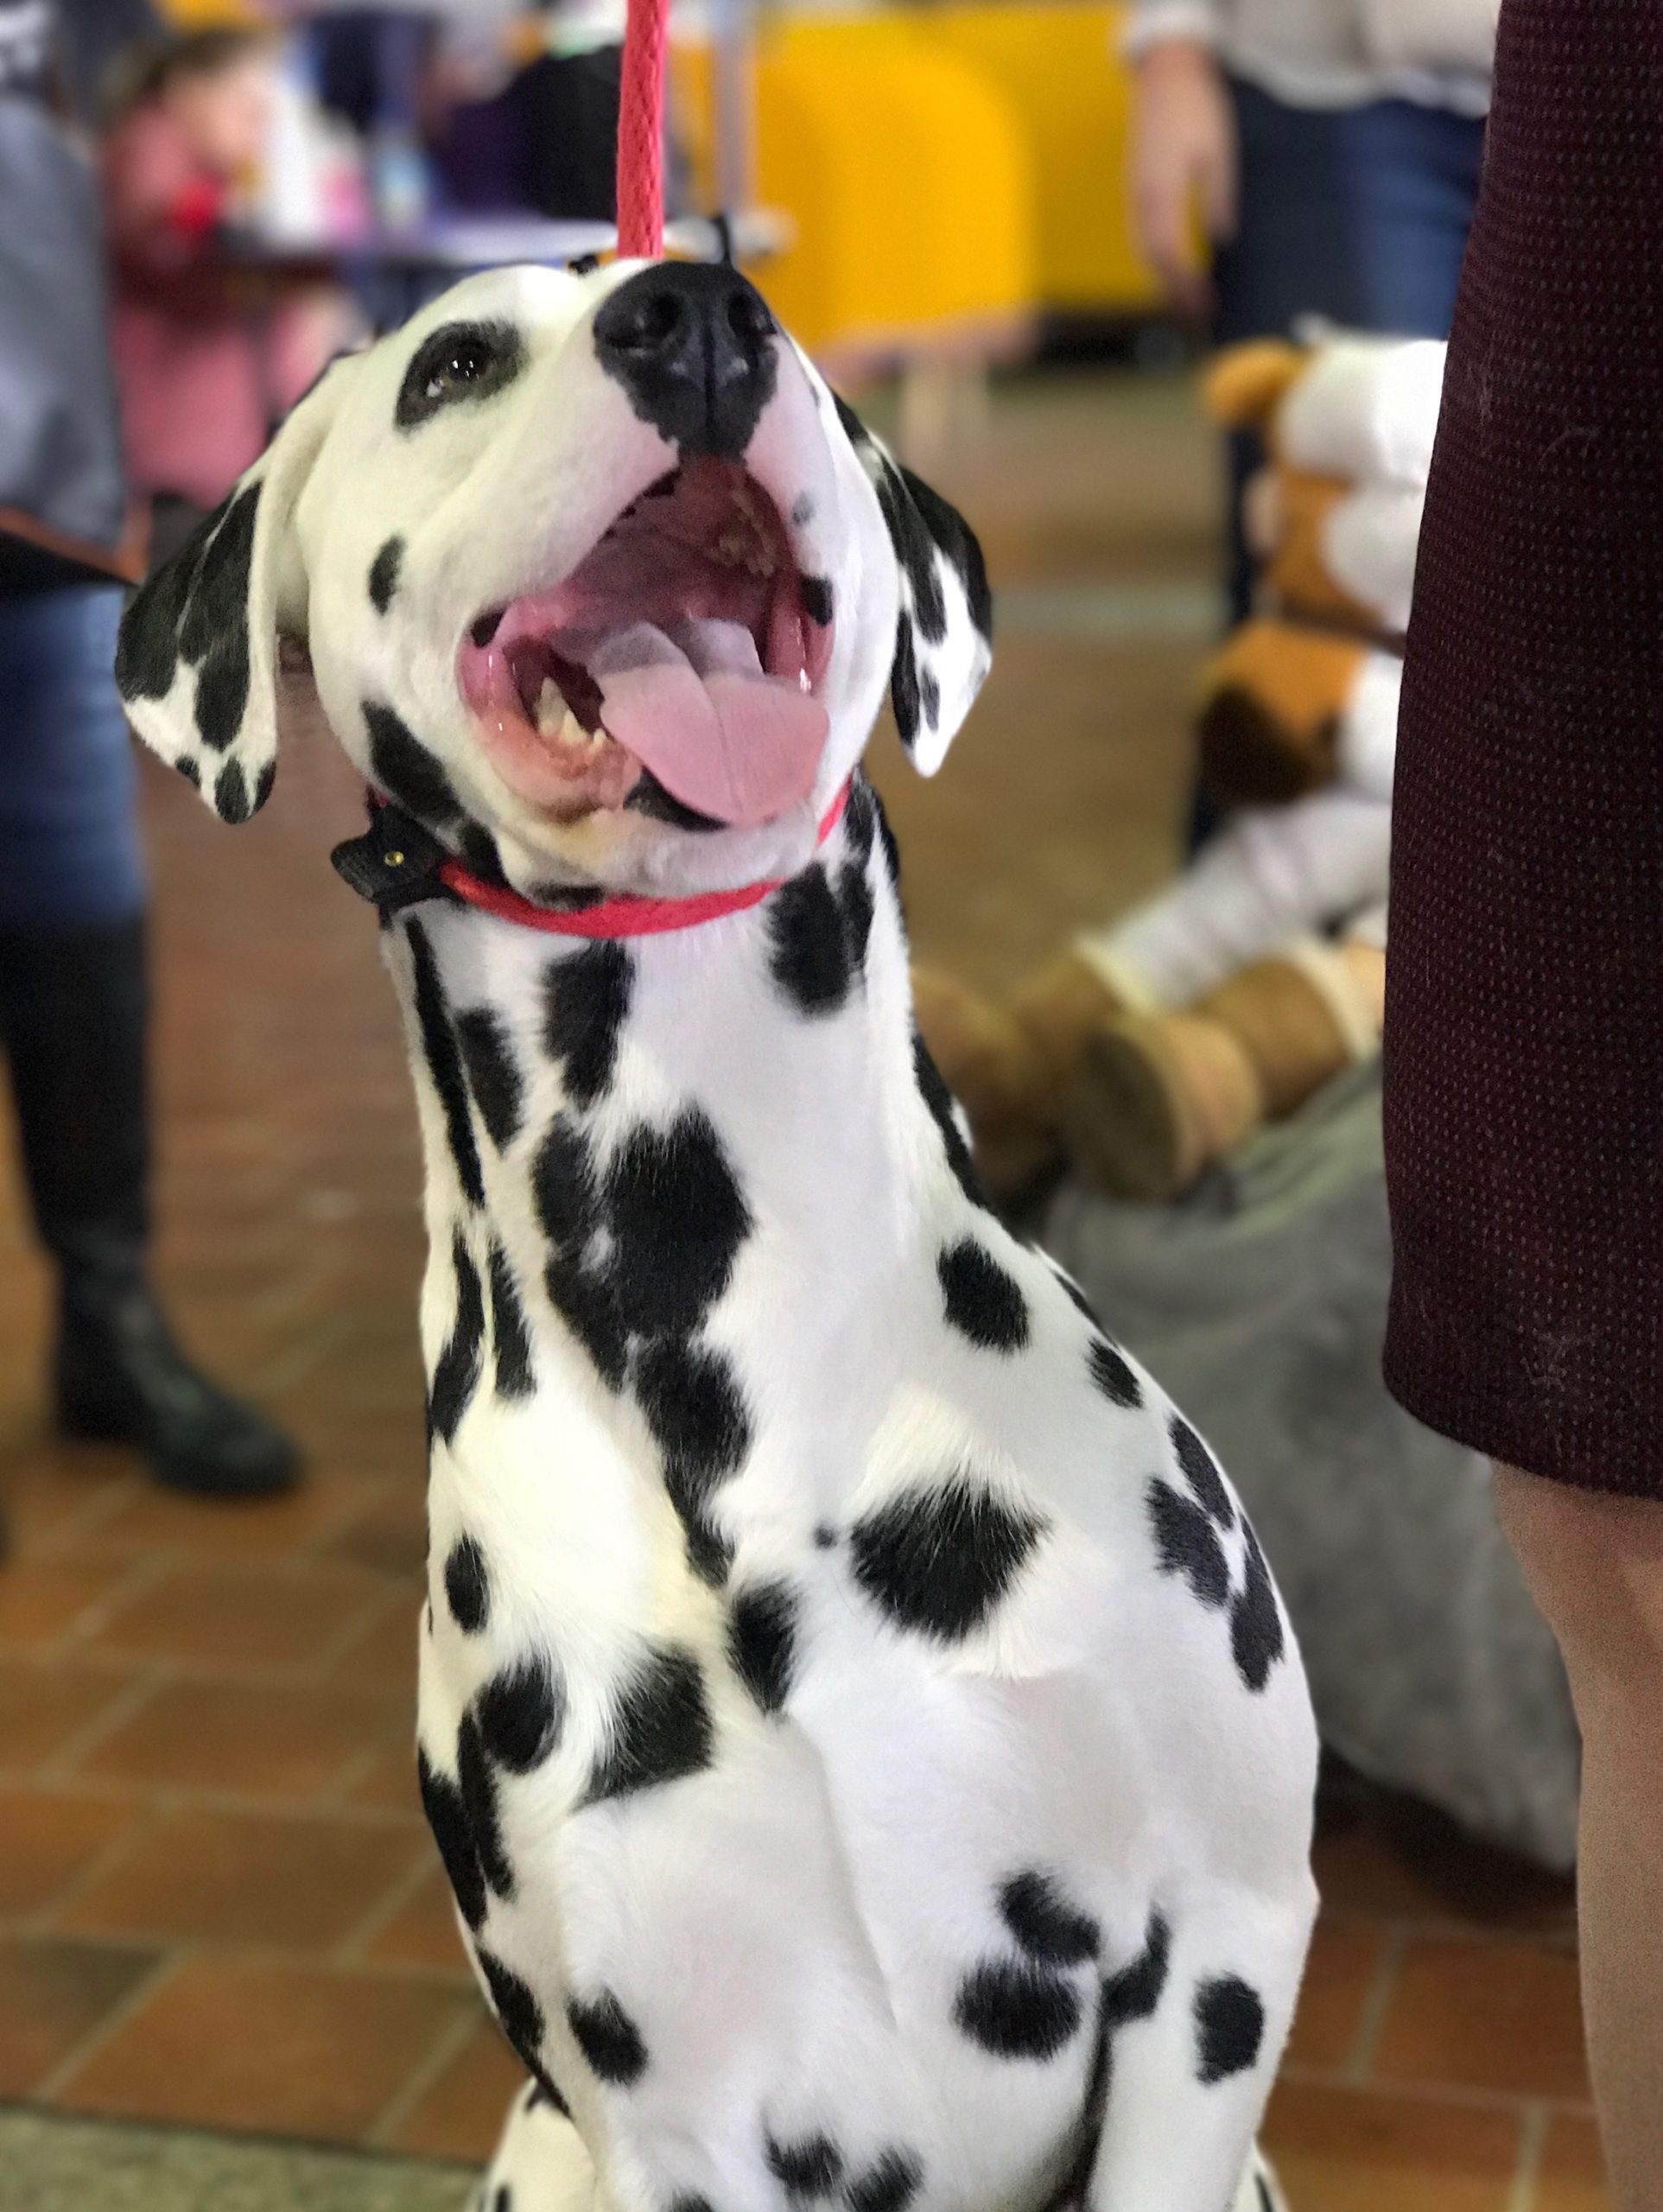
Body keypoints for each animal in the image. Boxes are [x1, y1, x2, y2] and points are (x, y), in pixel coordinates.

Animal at [113, 251, 1309, 2202]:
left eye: (786, 333)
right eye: (453, 361)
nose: (693, 321)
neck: (729, 1341)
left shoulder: (1215, 1951)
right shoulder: (664, 2105)